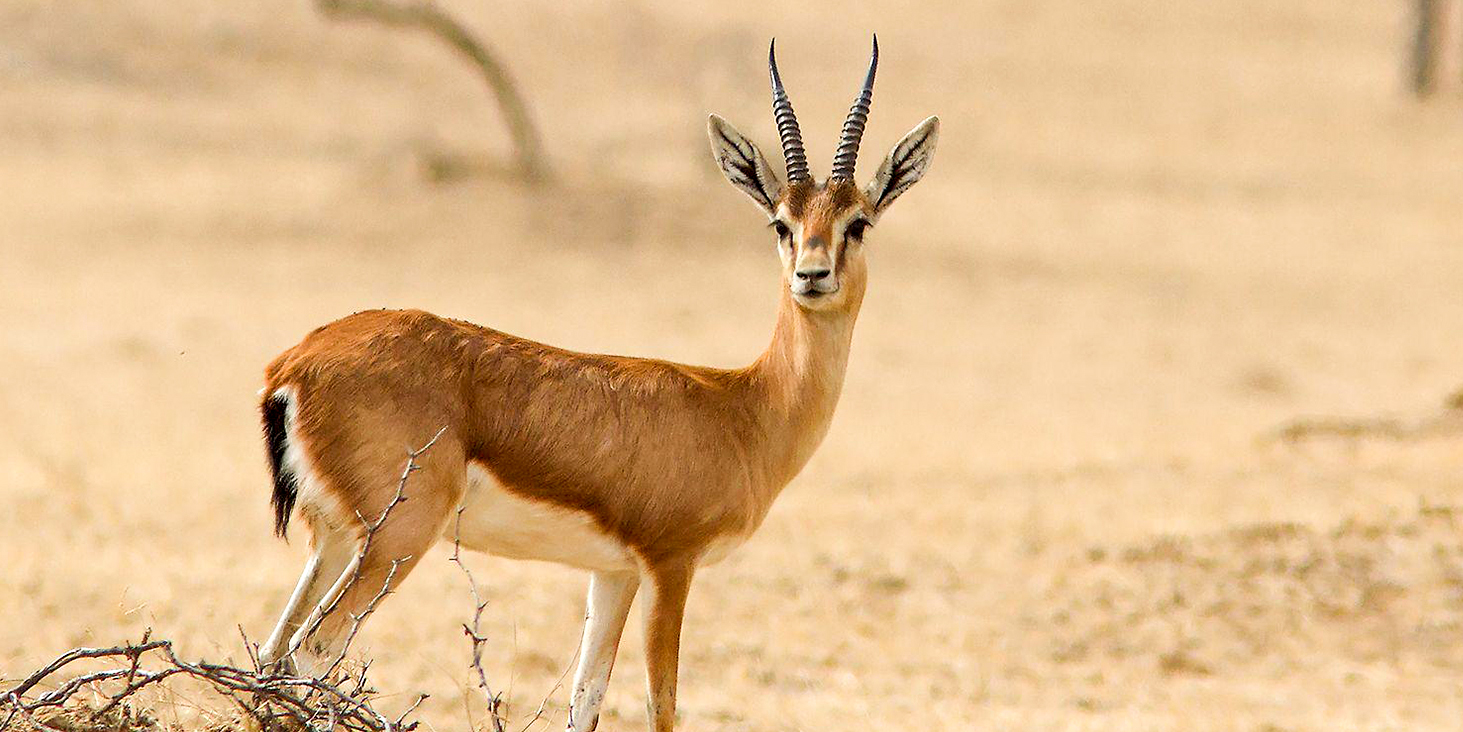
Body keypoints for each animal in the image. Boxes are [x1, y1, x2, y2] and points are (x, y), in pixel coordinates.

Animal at [253, 36, 938, 732]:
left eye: (858, 222)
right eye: (780, 222)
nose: (812, 274)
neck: (744, 408)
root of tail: (296, 362)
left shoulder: (613, 575)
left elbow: (586, 698)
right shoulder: (670, 565)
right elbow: (662, 705)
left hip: (337, 539)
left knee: (273, 654)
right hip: (398, 538)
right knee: (314, 650)